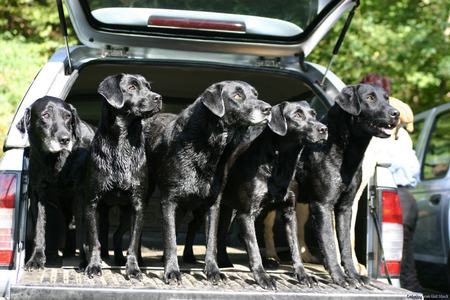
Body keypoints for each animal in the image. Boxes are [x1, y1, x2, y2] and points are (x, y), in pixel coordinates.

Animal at [16, 95, 95, 270]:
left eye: (68, 116)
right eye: (45, 115)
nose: (65, 139)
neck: (55, 160)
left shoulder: (80, 194)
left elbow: (82, 229)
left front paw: (84, 261)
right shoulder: (37, 194)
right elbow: (39, 228)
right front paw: (36, 259)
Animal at [84, 74, 162, 280]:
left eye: (148, 86)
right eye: (132, 87)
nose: (158, 97)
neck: (122, 145)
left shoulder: (137, 205)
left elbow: (133, 243)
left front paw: (133, 269)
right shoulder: (92, 203)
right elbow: (94, 240)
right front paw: (94, 266)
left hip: (126, 213)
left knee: (118, 235)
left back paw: (119, 258)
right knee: (105, 233)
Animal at [146, 79, 270, 284]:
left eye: (256, 94)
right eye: (237, 95)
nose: (268, 109)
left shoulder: (213, 204)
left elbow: (211, 240)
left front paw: (213, 271)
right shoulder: (169, 201)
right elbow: (170, 239)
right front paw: (171, 272)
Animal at [214, 102, 326, 290]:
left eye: (314, 114)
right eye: (298, 115)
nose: (324, 128)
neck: (281, 163)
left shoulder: (289, 212)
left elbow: (295, 246)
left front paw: (302, 274)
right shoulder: (246, 213)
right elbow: (253, 247)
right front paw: (262, 277)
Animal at [298, 83, 400, 288]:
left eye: (386, 98)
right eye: (370, 98)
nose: (396, 113)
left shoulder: (345, 207)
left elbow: (345, 244)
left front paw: (353, 275)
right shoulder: (322, 205)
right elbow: (330, 244)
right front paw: (339, 277)